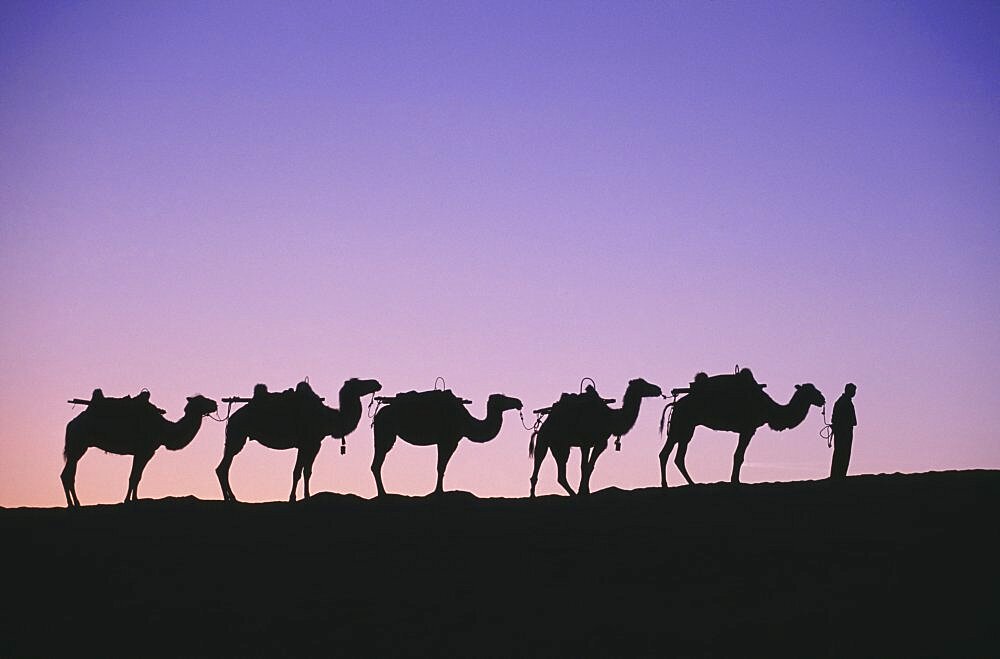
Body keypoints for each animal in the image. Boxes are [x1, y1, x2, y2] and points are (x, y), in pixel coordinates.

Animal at [63, 394, 221, 508]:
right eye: (202, 400)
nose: (215, 403)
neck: (163, 430)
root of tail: (70, 424)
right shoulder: (143, 451)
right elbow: (133, 477)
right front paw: (128, 500)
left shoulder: (145, 452)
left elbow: (137, 477)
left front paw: (135, 499)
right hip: (78, 443)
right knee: (67, 474)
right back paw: (73, 504)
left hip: (78, 446)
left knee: (68, 474)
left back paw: (75, 503)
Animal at [217, 378, 380, 502]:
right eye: (358, 382)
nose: (376, 383)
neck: (328, 418)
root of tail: (231, 418)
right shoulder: (307, 443)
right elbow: (298, 472)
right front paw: (293, 498)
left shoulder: (312, 444)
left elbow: (306, 471)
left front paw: (306, 496)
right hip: (237, 435)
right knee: (222, 468)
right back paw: (230, 499)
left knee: (223, 468)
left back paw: (230, 498)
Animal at [370, 392, 524, 496]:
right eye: (503, 398)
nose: (518, 402)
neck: (466, 422)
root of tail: (378, 415)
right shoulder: (448, 441)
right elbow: (441, 467)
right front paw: (438, 492)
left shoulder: (445, 441)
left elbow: (441, 467)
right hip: (385, 432)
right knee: (377, 463)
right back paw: (383, 494)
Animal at [528, 378, 668, 498]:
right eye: (642, 384)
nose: (658, 389)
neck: (610, 418)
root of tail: (543, 425)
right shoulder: (586, 443)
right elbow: (584, 466)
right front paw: (582, 492)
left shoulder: (600, 443)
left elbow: (590, 466)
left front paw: (585, 491)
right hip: (544, 440)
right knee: (539, 460)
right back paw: (533, 495)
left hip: (560, 446)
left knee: (561, 474)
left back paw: (570, 493)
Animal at [656, 374, 828, 488]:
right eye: (810, 391)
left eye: (815, 389)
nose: (823, 399)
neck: (768, 408)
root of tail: (675, 405)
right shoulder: (748, 428)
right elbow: (739, 456)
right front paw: (735, 481)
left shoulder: (746, 429)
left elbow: (738, 455)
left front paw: (734, 479)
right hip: (682, 424)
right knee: (669, 454)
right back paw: (670, 484)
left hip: (685, 428)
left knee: (674, 455)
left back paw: (688, 483)